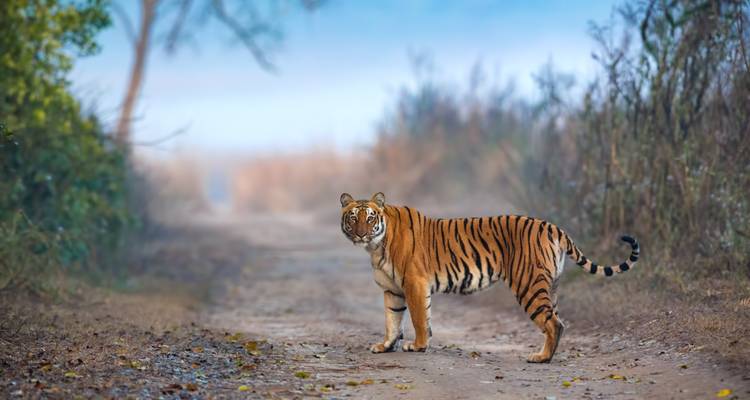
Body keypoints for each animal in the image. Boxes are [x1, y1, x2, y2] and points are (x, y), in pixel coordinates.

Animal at [339, 192, 639, 363]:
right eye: (353, 218)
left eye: (370, 217)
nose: (361, 233)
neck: (376, 246)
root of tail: (552, 226)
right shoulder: (393, 290)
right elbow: (392, 320)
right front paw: (385, 346)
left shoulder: (414, 283)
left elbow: (419, 318)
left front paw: (419, 346)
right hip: (550, 286)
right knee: (557, 321)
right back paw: (547, 355)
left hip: (528, 284)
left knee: (554, 324)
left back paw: (540, 359)